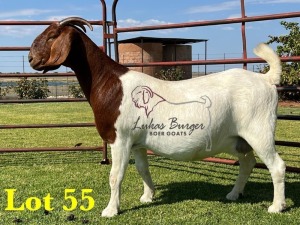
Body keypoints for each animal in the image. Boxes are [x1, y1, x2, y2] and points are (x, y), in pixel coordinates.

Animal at [29, 16, 288, 217]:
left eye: (52, 36)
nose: (31, 58)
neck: (109, 83)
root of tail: (266, 79)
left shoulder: (120, 138)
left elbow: (116, 175)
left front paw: (110, 210)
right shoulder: (137, 142)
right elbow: (143, 169)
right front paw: (148, 196)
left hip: (259, 130)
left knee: (276, 165)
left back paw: (276, 206)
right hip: (236, 139)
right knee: (247, 162)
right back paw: (234, 194)